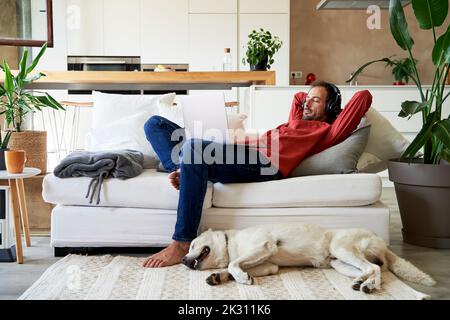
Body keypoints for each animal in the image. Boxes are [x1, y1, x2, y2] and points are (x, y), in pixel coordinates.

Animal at [182, 222, 436, 292]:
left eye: (193, 244)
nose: (183, 261)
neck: (229, 242)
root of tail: (379, 239)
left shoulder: (264, 246)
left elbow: (234, 265)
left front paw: (241, 277)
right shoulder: (269, 265)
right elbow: (233, 268)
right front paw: (219, 276)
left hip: (341, 248)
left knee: (374, 269)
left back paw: (369, 286)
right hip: (339, 264)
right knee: (370, 269)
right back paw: (361, 282)